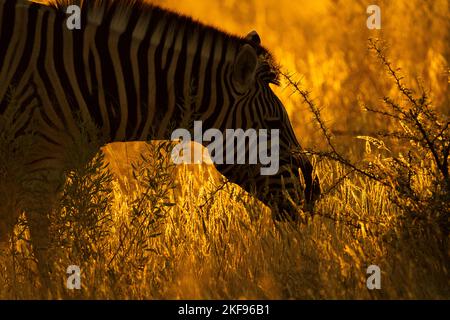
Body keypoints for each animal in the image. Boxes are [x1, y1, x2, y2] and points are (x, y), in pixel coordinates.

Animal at [0, 0, 320, 288]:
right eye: (273, 124)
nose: (312, 196)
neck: (83, 78)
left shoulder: (28, 171)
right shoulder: (38, 167)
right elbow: (44, 249)